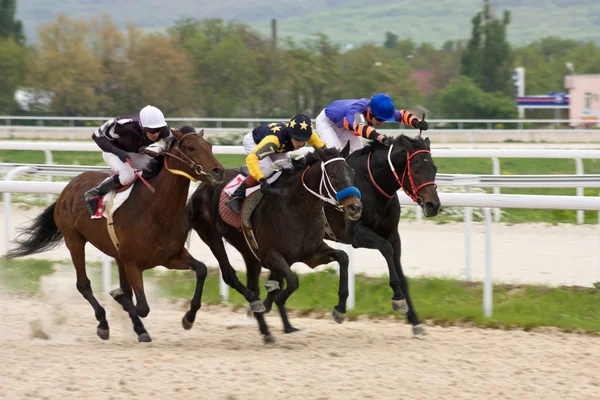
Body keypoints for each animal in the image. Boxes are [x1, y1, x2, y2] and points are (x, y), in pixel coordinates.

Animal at [6, 127, 225, 340]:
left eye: (210, 146)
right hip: (74, 240)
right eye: (190, 148)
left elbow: (201, 269)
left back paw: (139, 329)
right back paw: (103, 323)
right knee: (83, 284)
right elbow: (140, 306)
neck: (155, 208)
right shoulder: (132, 263)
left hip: (115, 254)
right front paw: (117, 298)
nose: (218, 171)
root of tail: (69, 187)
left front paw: (189, 317)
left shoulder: (170, 257)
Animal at [188, 145, 364, 346]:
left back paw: (267, 329)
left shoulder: (311, 253)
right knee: (230, 275)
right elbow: (293, 281)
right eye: (333, 174)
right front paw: (272, 302)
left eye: (351, 171)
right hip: (212, 236)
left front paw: (340, 310)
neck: (297, 206)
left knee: (254, 286)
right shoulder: (270, 255)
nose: (355, 207)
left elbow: (343, 257)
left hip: (249, 253)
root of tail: (200, 188)